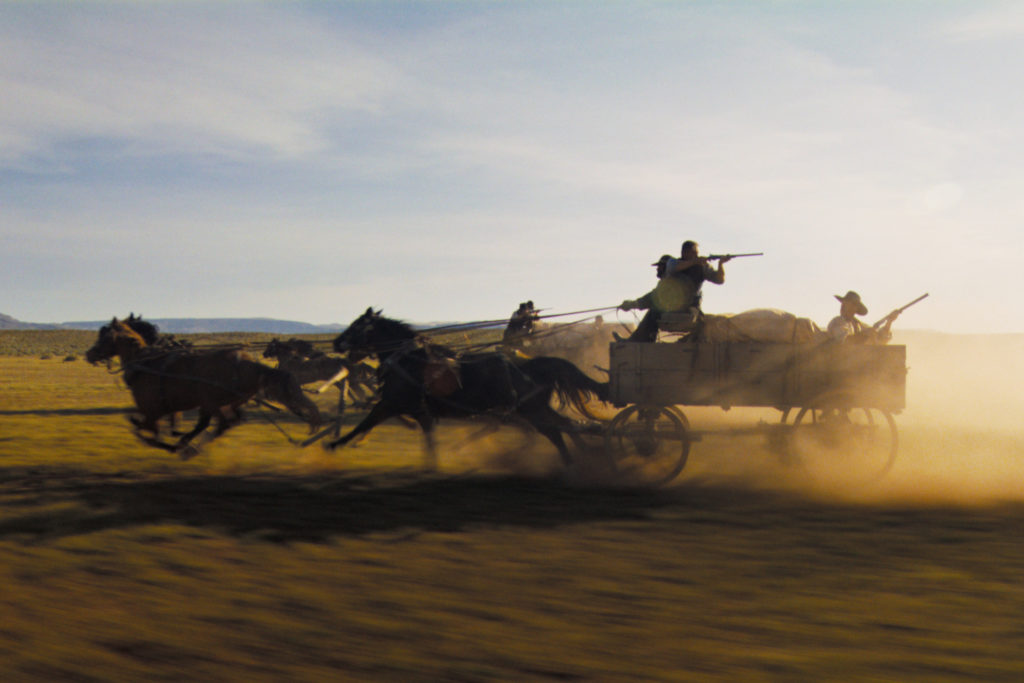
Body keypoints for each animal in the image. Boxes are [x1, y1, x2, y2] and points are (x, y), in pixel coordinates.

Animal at [86, 317, 321, 456]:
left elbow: (141, 430)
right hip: (226, 401)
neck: (146, 362)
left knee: (216, 423)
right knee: (226, 422)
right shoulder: (161, 412)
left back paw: (188, 445)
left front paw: (171, 444)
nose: (89, 354)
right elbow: (148, 429)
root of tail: (249, 362)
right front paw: (175, 439)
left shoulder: (152, 411)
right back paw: (191, 444)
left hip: (211, 401)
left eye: (104, 335)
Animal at [325, 309, 606, 471]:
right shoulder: (418, 411)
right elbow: (428, 441)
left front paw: (333, 445)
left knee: (557, 431)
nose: (336, 342)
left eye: (357, 326)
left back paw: (573, 465)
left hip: (531, 410)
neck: (408, 359)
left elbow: (365, 423)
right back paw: (584, 457)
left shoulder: (392, 403)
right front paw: (433, 466)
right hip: (534, 408)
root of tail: (531, 364)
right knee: (565, 425)